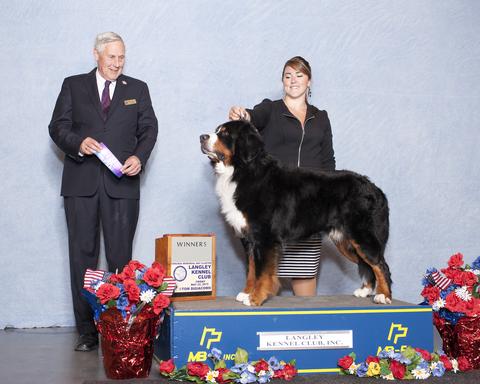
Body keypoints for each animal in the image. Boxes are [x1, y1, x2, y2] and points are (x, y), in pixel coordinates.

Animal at [201, 120, 392, 306]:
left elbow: (262, 273)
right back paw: (365, 290)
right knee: (366, 264)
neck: (243, 171)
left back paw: (383, 296)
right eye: (217, 130)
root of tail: (375, 188)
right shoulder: (249, 239)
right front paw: (246, 293)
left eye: (225, 133)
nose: (202, 137)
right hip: (345, 241)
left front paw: (255, 298)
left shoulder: (264, 237)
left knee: (380, 265)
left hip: (363, 236)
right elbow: (252, 270)